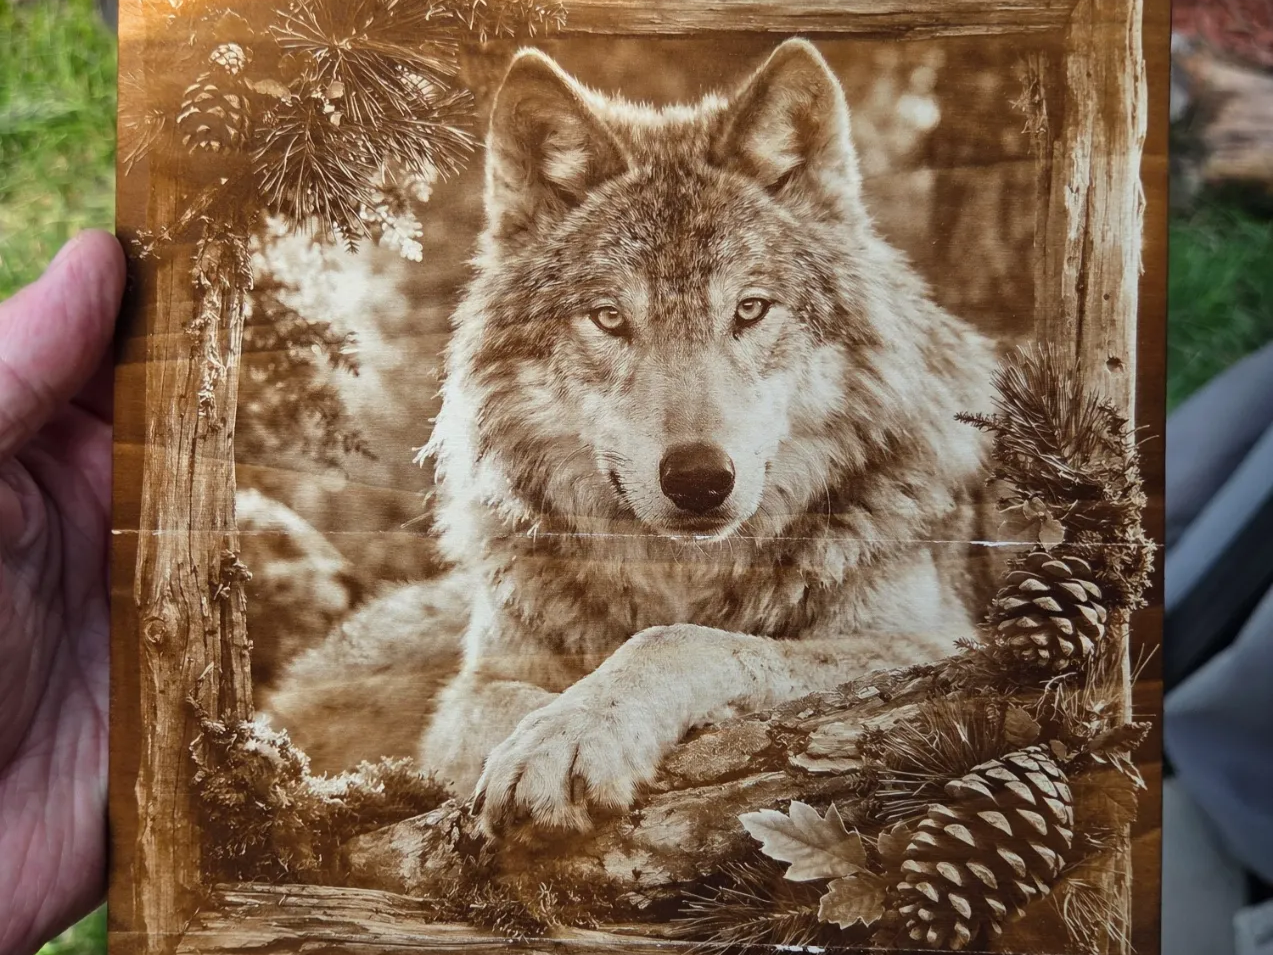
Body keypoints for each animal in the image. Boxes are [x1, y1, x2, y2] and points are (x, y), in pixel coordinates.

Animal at [265, 38, 999, 835]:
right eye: (610, 318)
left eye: (749, 309)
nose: (700, 479)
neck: (682, 576)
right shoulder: (472, 690)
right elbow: (503, 708)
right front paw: (546, 734)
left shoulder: (940, 647)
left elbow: (682, 642)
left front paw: (577, 728)